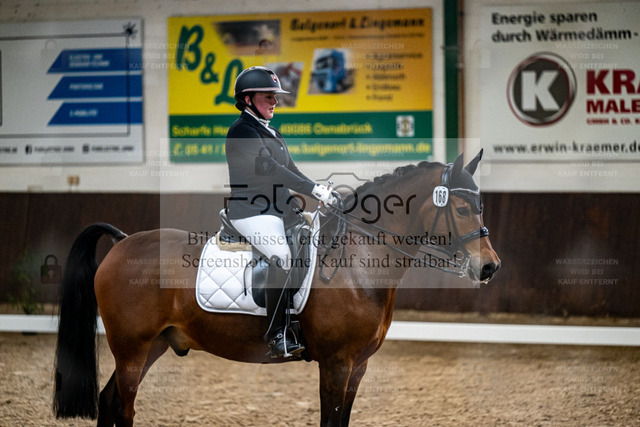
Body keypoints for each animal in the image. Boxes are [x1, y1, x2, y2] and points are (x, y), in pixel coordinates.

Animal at [53, 150, 500, 426]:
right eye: (462, 208)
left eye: (481, 205)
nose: (490, 267)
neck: (359, 262)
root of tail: (123, 241)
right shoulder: (336, 364)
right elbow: (329, 421)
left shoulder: (358, 366)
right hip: (132, 347)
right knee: (123, 406)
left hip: (154, 345)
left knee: (109, 400)